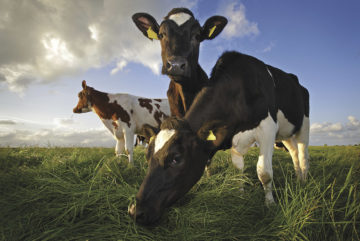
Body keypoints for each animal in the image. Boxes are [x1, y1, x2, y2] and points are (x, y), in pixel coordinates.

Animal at [129, 51, 310, 225]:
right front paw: (241, 196)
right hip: (286, 133)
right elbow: (238, 170)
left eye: (176, 158)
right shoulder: (235, 139)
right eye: (147, 157)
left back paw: (304, 179)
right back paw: (297, 177)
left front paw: (270, 204)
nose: (136, 211)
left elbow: (264, 172)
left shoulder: (268, 128)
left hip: (303, 125)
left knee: (302, 152)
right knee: (293, 152)